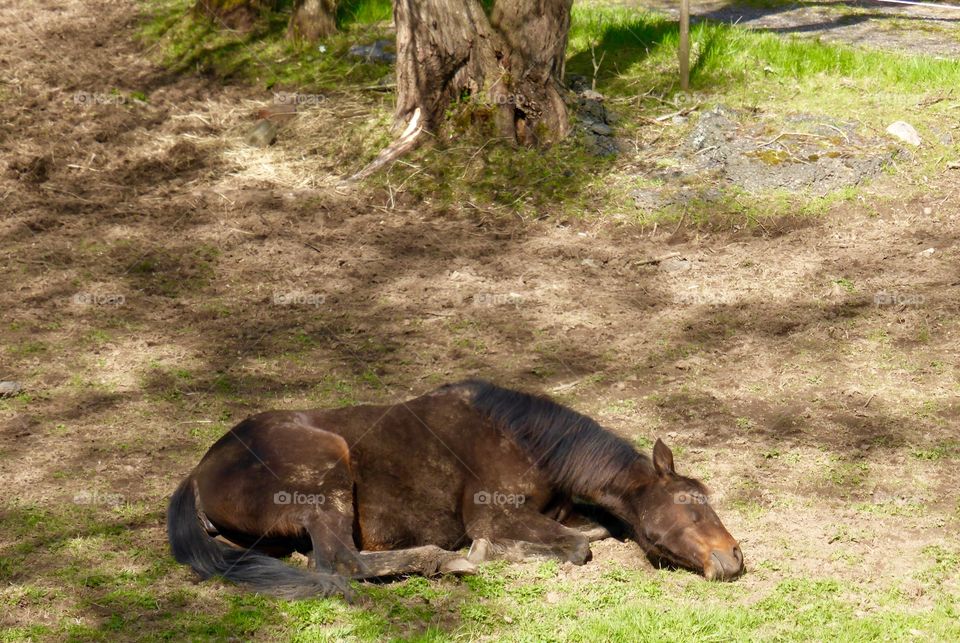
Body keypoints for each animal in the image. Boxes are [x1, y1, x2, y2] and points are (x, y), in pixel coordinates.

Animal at [169, 382, 748, 600]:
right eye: (690, 507)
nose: (732, 560)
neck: (525, 440)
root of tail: (200, 470)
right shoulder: (493, 515)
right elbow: (578, 546)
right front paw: (493, 553)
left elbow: (597, 528)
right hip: (324, 475)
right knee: (339, 563)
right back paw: (447, 561)